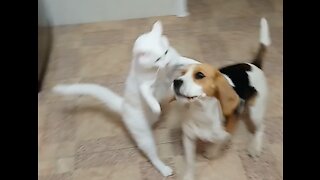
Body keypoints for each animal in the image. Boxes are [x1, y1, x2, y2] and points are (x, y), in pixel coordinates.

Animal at [53, 21, 199, 177]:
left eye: (165, 52)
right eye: (158, 59)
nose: (166, 62)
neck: (160, 70)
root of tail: (123, 106)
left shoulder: (174, 59)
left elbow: (184, 59)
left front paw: (197, 64)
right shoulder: (145, 85)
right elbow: (148, 94)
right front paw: (155, 106)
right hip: (143, 136)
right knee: (152, 155)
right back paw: (164, 169)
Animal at [174, 17, 272, 180]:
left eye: (199, 75)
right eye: (181, 73)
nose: (176, 81)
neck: (202, 111)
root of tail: (254, 65)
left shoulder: (225, 133)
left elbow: (218, 142)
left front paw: (212, 151)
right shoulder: (188, 138)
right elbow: (190, 163)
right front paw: (189, 175)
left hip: (255, 111)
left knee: (261, 127)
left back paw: (255, 147)